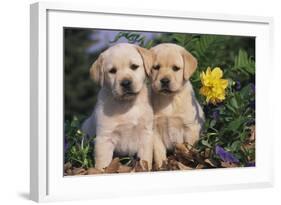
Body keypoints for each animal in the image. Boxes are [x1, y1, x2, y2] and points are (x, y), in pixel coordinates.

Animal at [82, 42, 154, 170]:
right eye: (112, 71)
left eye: (134, 66)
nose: (125, 83)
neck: (126, 104)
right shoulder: (104, 138)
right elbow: (103, 163)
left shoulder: (146, 134)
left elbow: (145, 159)